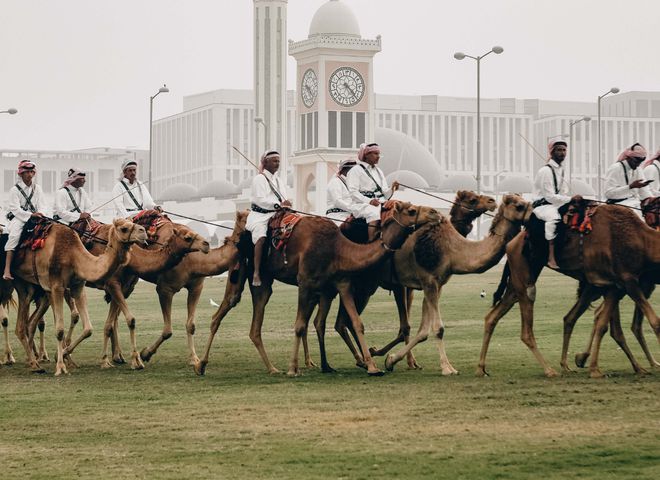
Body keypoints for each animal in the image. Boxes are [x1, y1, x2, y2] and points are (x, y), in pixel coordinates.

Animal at [11, 218, 147, 376]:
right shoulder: (57, 286)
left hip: (33, 287)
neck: (73, 255)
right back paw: (31, 362)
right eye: (124, 228)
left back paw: (33, 363)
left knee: (27, 322)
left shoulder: (77, 286)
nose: (143, 232)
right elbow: (59, 330)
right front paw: (60, 366)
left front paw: (64, 355)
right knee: (22, 324)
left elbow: (88, 329)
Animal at [196, 201, 444, 376]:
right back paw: (202, 365)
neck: (339, 247)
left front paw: (373, 366)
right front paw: (293, 369)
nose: (436, 213)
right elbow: (299, 326)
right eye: (411, 210)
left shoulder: (340, 284)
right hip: (242, 271)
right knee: (223, 312)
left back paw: (273, 368)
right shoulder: (306, 282)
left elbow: (355, 323)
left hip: (267, 282)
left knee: (255, 326)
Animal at [474, 201, 660, 376]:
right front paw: (593, 367)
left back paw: (482, 368)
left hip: (518, 279)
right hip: (523, 273)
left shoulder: (614, 285)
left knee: (493, 316)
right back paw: (550, 370)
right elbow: (654, 322)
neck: (641, 239)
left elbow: (602, 324)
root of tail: (510, 244)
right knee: (527, 323)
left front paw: (593, 367)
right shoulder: (627, 280)